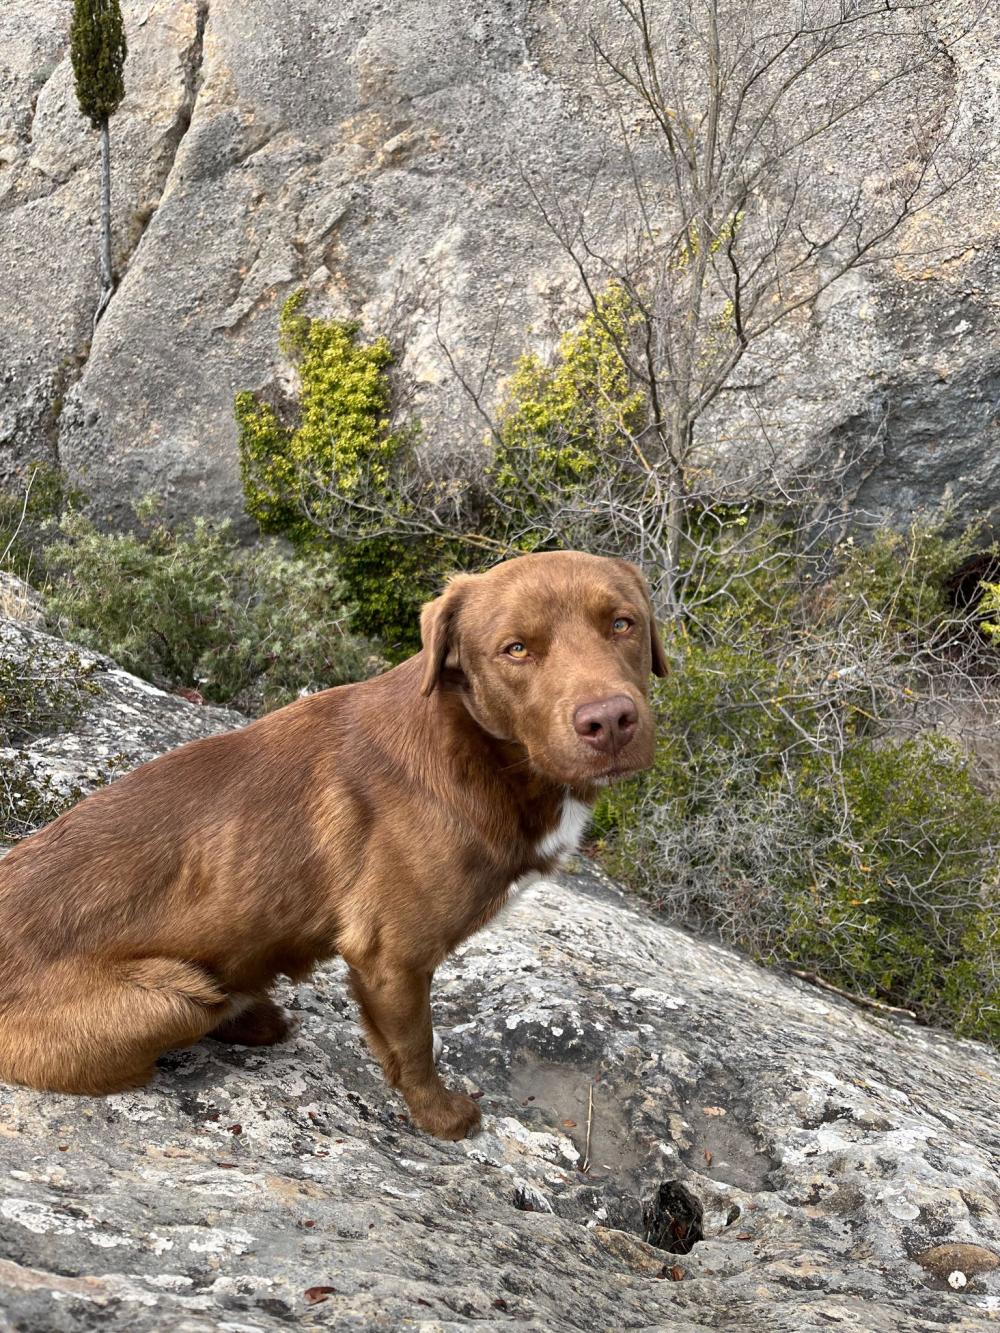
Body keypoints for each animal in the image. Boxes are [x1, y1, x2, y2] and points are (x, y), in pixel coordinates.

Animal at [1, 546, 674, 1141]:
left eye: (622, 623)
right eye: (516, 649)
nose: (609, 721)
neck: (481, 751)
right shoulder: (391, 956)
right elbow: (415, 1047)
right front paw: (443, 1120)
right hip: (174, 996)